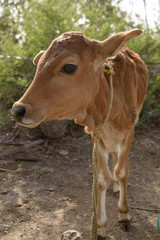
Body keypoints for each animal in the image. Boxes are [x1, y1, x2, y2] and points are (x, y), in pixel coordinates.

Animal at [11, 29, 148, 238]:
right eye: (39, 64)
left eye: (69, 67)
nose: (18, 110)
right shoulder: (96, 136)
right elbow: (102, 178)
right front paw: (100, 225)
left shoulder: (129, 131)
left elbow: (122, 172)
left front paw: (124, 214)